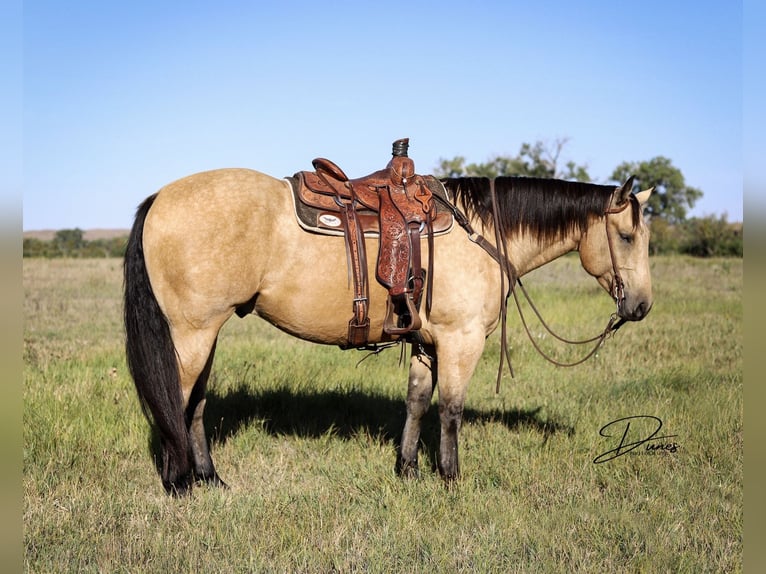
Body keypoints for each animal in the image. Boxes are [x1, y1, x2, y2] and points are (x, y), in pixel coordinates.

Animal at [124, 140, 656, 496]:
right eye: (627, 236)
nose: (641, 306)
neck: (481, 232)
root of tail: (158, 198)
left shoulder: (427, 341)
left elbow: (417, 402)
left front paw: (408, 469)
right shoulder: (461, 341)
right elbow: (451, 409)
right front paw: (451, 478)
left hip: (205, 333)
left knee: (195, 405)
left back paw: (210, 478)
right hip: (192, 334)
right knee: (178, 400)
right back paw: (179, 483)